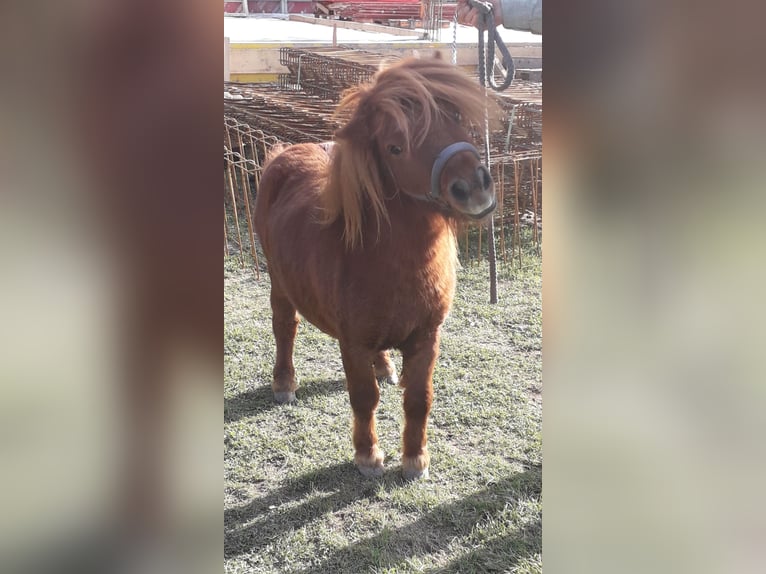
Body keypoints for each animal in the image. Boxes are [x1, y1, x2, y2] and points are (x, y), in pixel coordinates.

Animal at [256, 57, 498, 482]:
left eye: (452, 116)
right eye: (394, 148)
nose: (474, 187)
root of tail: (285, 152)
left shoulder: (427, 337)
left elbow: (419, 399)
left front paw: (416, 459)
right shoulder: (351, 342)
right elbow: (364, 397)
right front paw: (368, 456)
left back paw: (384, 366)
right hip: (280, 285)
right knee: (285, 329)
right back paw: (285, 383)